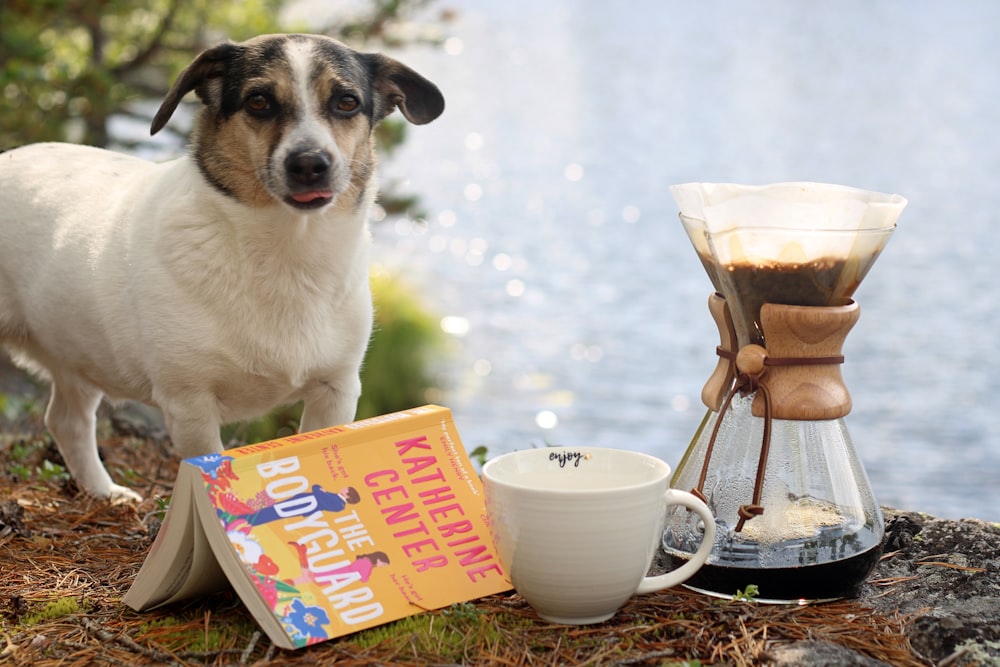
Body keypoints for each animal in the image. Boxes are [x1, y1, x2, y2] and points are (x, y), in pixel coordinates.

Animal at [0, 31, 446, 500]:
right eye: (258, 101)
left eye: (346, 101)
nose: (310, 163)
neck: (284, 253)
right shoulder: (190, 405)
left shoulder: (336, 390)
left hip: (76, 356)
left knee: (66, 420)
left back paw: (105, 493)